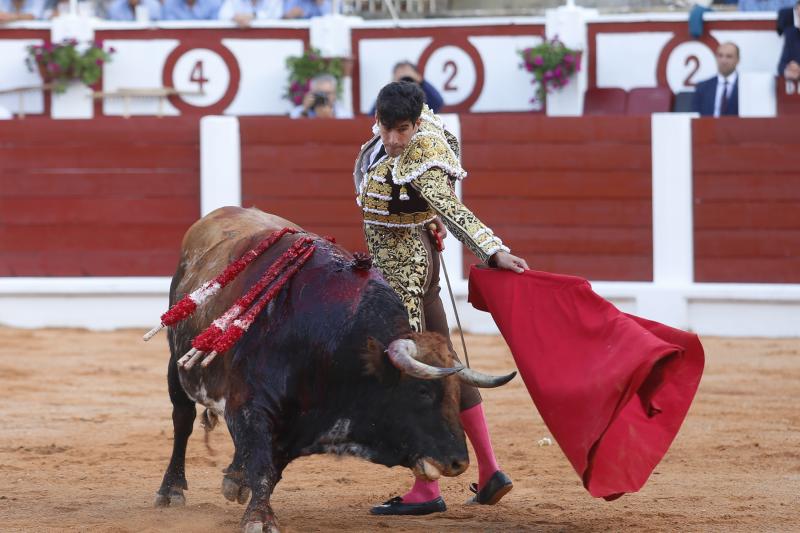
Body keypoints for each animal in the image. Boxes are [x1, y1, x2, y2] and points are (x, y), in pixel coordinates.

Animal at [152, 208, 512, 532]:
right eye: (422, 391)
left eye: (455, 394)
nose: (458, 462)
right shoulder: (250, 405)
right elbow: (262, 462)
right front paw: (259, 519)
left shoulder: (295, 424)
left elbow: (270, 465)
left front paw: (245, 489)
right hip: (175, 362)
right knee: (182, 420)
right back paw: (171, 490)